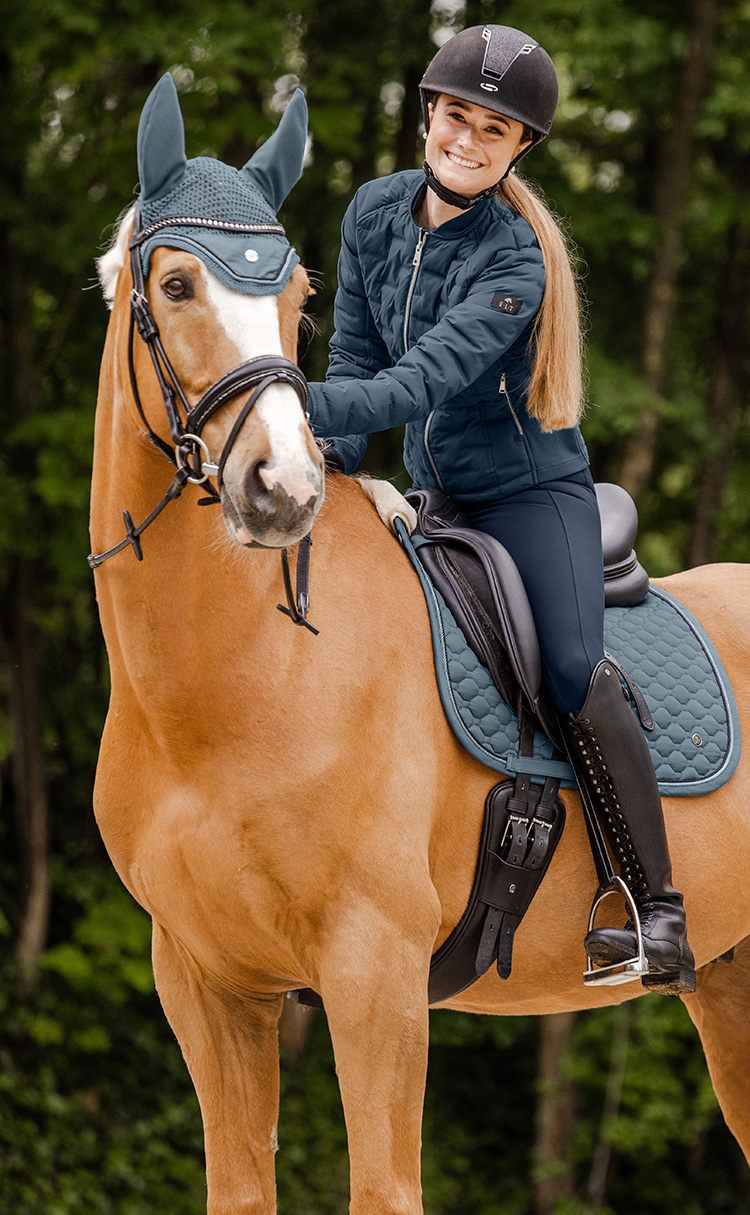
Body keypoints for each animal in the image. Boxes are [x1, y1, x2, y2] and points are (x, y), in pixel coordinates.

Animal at [92, 78, 750, 1215]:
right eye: (175, 284)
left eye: (298, 294)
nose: (282, 488)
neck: (235, 691)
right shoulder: (207, 985)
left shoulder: (376, 977)